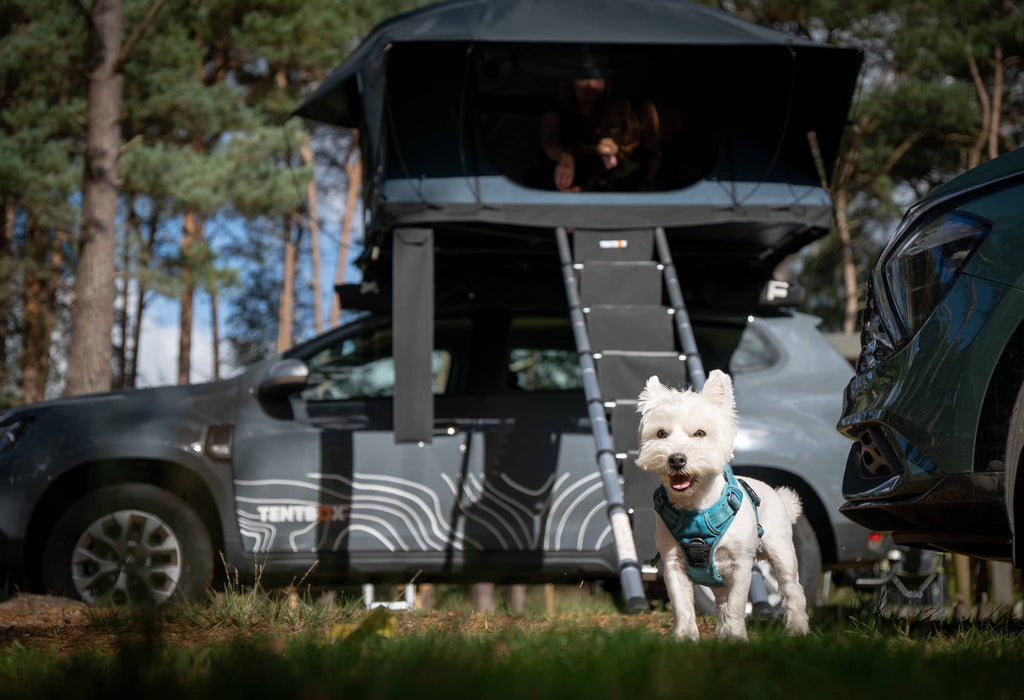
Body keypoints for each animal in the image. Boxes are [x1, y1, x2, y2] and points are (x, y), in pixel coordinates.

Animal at [630, 372, 806, 638]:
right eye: (661, 434)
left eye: (700, 433)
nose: (677, 459)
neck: (695, 507)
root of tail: (777, 495)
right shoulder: (672, 563)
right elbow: (682, 603)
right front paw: (685, 636)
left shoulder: (740, 564)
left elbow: (737, 602)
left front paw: (735, 636)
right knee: (721, 602)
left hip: (781, 549)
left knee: (791, 587)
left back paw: (796, 628)